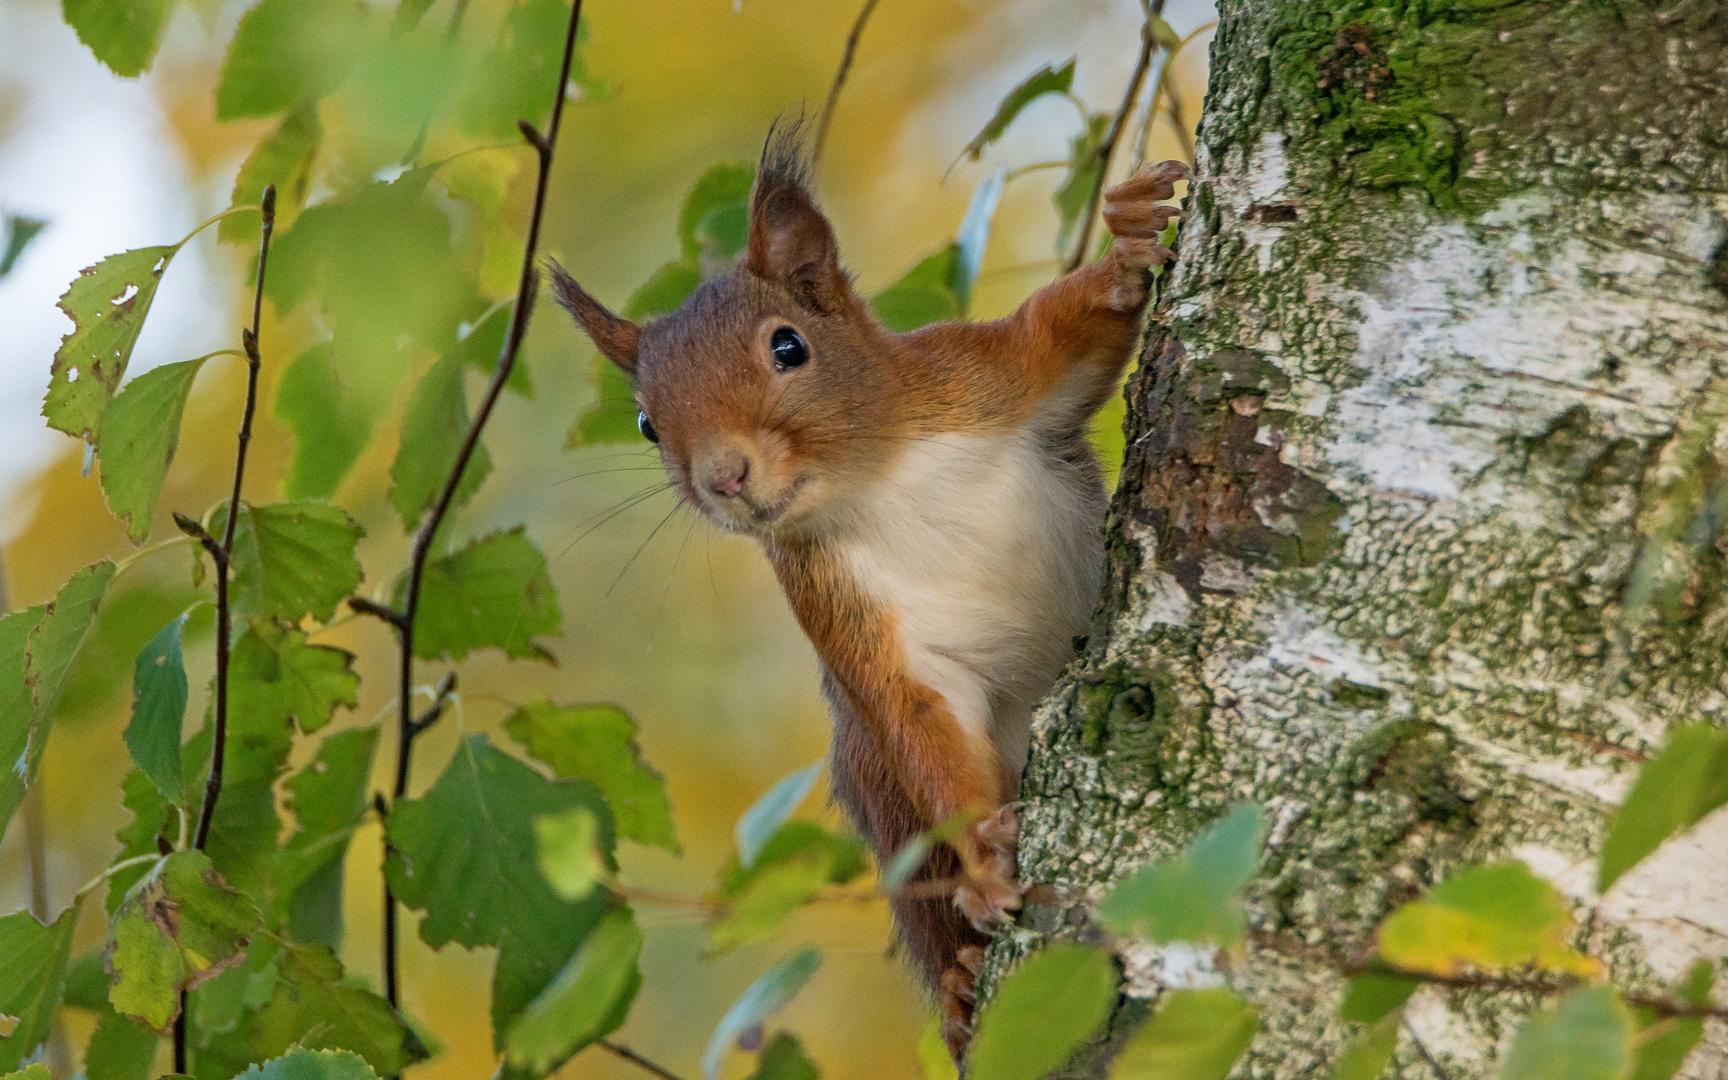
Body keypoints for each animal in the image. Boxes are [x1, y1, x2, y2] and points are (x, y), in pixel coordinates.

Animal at [552, 124, 1188, 1050]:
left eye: (788, 346)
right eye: (644, 423)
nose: (724, 477)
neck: (875, 482)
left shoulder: (979, 372)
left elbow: (1067, 327)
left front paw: (1130, 231)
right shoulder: (842, 610)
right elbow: (919, 719)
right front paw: (987, 860)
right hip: (873, 786)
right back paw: (958, 979)